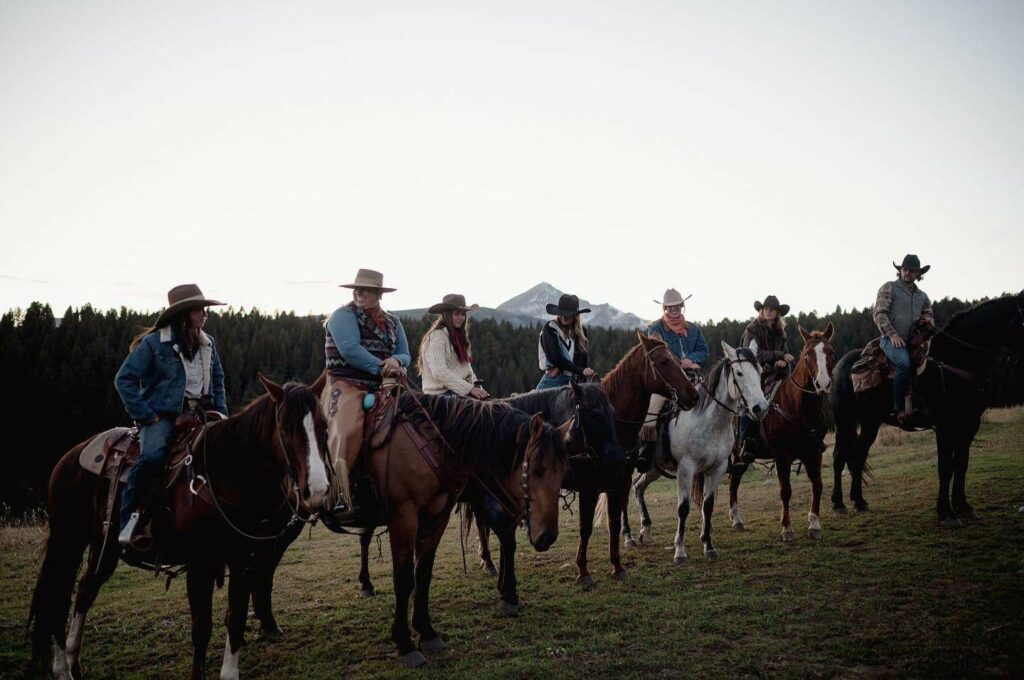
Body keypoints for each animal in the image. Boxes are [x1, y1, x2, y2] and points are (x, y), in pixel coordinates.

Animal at [29, 376, 327, 680]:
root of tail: (71, 456)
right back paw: (62, 668)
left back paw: (73, 660)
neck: (223, 476)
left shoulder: (243, 561)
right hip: (68, 541)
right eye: (286, 428)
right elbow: (202, 626)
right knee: (58, 597)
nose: (316, 490)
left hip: (105, 547)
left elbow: (236, 618)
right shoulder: (200, 564)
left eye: (324, 425)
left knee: (85, 590)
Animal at [630, 342, 770, 561]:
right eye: (739, 373)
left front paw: (708, 545)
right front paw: (680, 551)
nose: (760, 408)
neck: (708, 422)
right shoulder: (686, 469)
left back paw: (646, 532)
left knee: (638, 487)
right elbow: (683, 508)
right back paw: (627, 536)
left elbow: (708, 505)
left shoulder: (716, 469)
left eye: (760, 372)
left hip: (652, 468)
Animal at [724, 323, 835, 540]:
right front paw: (787, 528)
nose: (823, 384)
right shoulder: (783, 457)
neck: (798, 407)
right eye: (807, 354)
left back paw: (737, 520)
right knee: (733, 480)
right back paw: (736, 519)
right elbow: (786, 491)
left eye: (831, 352)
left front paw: (814, 524)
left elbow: (817, 485)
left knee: (735, 479)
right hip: (737, 454)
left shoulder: (814, 453)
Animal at [831, 288, 1024, 522]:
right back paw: (838, 504)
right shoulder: (944, 424)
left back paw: (859, 501)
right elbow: (945, 467)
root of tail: (840, 365)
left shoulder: (970, 423)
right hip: (844, 420)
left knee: (858, 455)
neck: (954, 361)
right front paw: (946, 512)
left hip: (870, 422)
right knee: (839, 456)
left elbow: (961, 463)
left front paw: (963, 506)